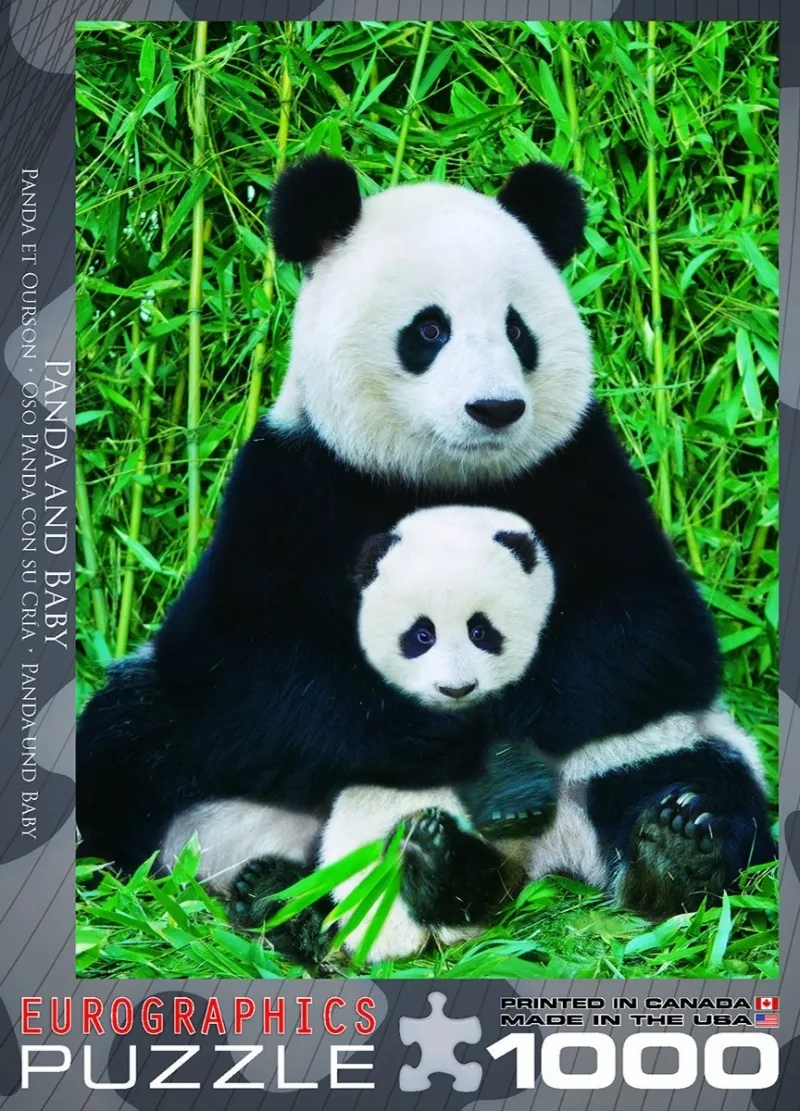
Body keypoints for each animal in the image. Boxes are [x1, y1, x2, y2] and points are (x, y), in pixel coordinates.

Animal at [228, 504, 561, 964]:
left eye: (481, 632)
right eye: (421, 635)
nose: (455, 689)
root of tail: (394, 941)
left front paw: (511, 799)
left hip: (493, 882)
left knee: (468, 887)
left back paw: (430, 860)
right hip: (330, 876)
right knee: (307, 897)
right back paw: (268, 894)